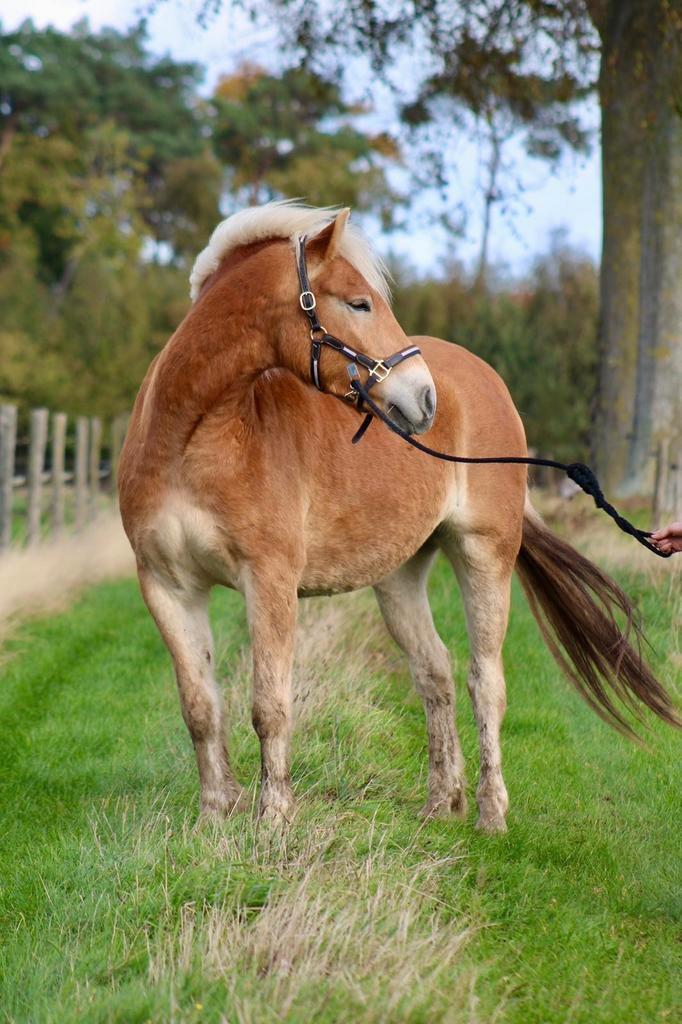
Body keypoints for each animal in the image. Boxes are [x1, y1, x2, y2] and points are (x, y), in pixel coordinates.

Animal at [118, 202, 678, 833]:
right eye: (359, 303)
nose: (423, 398)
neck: (193, 441)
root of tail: (486, 380)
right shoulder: (168, 587)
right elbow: (200, 708)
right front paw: (215, 818)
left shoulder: (269, 581)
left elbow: (269, 706)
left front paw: (273, 822)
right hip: (399, 576)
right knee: (434, 673)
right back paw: (442, 802)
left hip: (484, 554)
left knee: (485, 681)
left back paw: (490, 813)